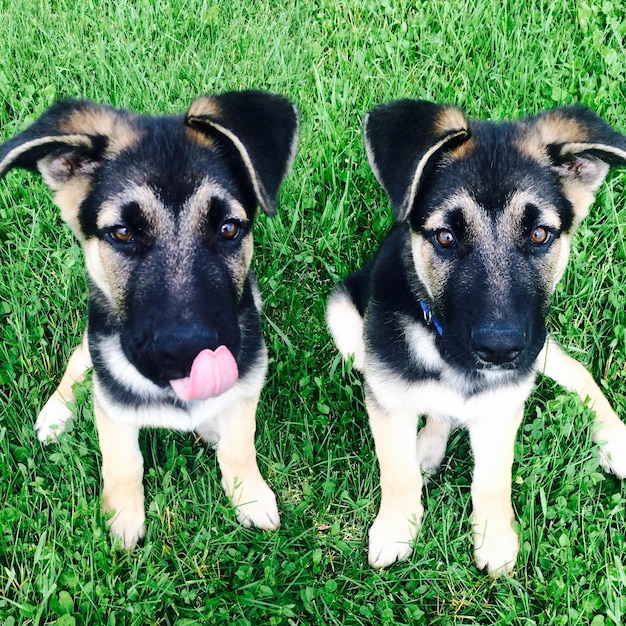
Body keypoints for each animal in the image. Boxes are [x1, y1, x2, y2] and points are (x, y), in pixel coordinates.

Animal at [0, 90, 298, 548]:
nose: (190, 354)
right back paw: (57, 411)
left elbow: (239, 446)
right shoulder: (113, 406)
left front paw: (248, 494)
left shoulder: (246, 384)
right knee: (78, 356)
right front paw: (123, 520)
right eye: (123, 233)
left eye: (229, 228)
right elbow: (123, 464)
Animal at [326, 101, 624, 576]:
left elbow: (492, 480)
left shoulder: (504, 403)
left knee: (573, 369)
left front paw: (495, 539)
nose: (500, 350)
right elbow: (397, 471)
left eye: (539, 234)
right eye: (445, 237)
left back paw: (615, 438)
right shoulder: (386, 397)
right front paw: (396, 528)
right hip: (345, 322)